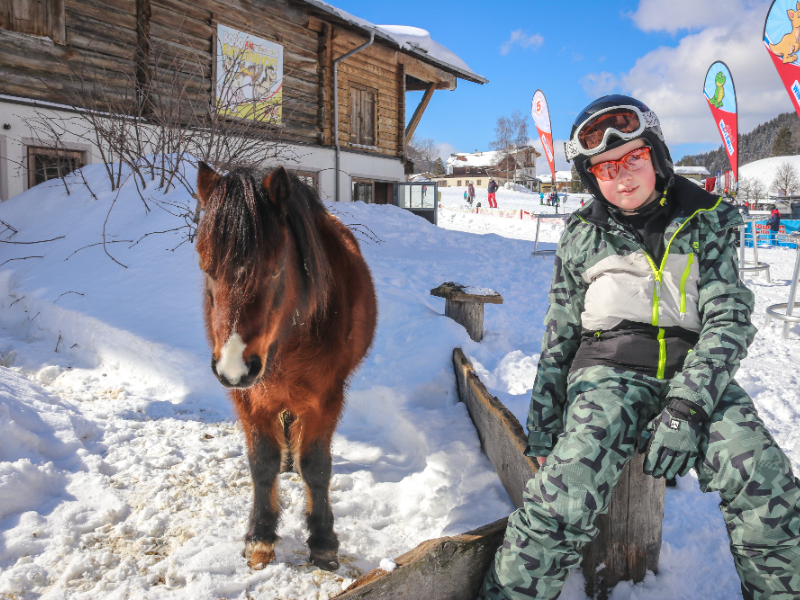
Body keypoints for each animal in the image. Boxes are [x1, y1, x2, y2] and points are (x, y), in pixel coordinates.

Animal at [195, 163, 378, 571]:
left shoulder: (326, 398)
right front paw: (260, 536)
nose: (234, 367)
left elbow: (317, 466)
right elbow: (261, 463)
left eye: (275, 268)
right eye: (206, 267)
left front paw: (323, 540)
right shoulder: (249, 399)